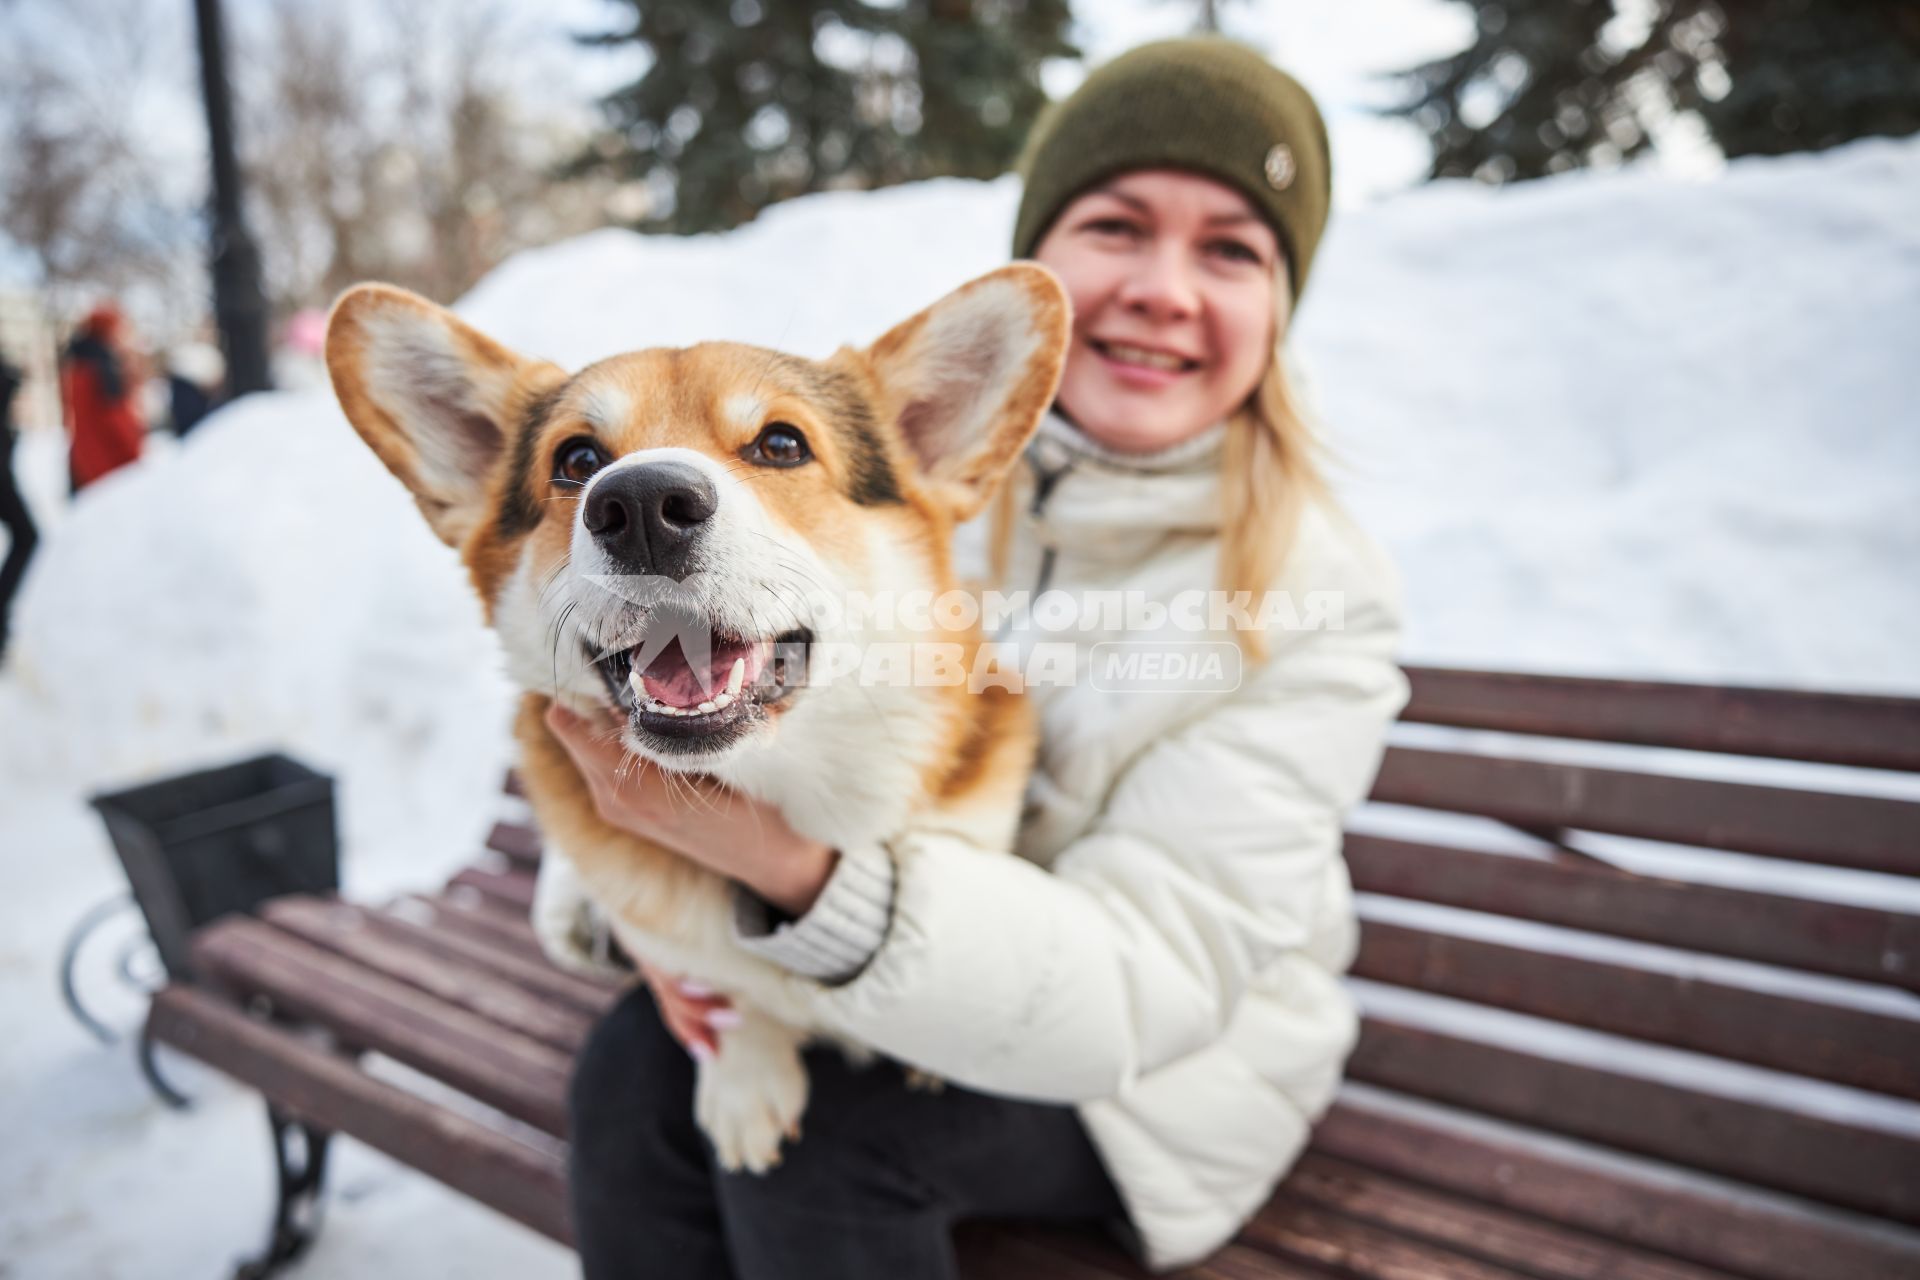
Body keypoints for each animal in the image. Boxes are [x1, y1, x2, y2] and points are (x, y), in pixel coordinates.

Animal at [332, 264, 1082, 1174]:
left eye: (782, 445)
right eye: (577, 460)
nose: (641, 504)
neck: (776, 778)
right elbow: (719, 982)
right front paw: (745, 1078)